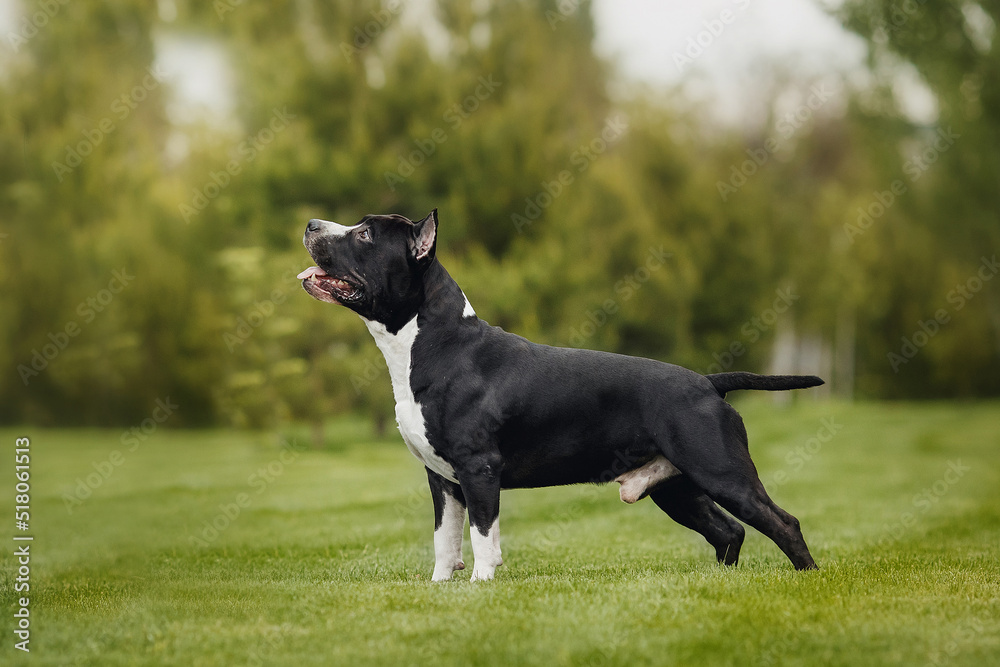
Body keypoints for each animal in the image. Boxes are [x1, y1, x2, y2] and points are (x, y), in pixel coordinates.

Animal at [294, 211, 820, 580]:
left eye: (365, 234)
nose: (311, 224)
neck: (433, 344)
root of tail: (709, 382)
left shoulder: (478, 469)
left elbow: (483, 536)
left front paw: (481, 586)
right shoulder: (442, 478)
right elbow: (446, 540)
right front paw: (440, 588)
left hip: (722, 472)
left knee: (782, 522)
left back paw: (808, 579)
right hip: (677, 488)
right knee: (728, 530)